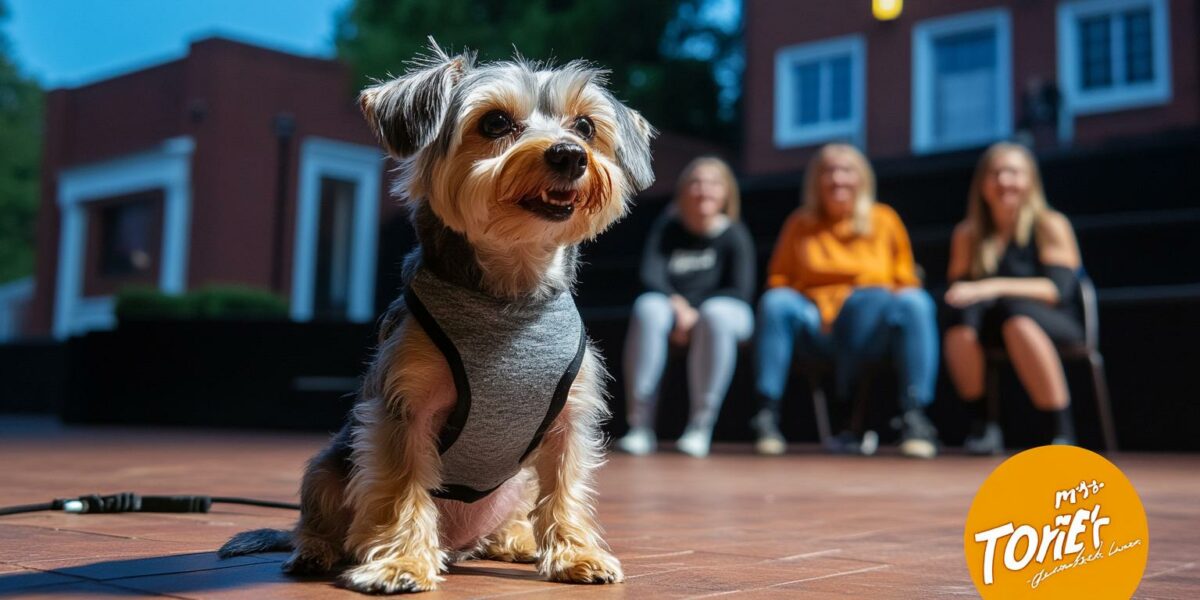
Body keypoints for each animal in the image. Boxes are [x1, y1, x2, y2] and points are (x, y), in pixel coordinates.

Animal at [225, 43, 657, 595]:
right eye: (495, 122)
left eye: (584, 126)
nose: (570, 154)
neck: (510, 291)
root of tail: (459, 545)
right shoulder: (405, 411)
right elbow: (401, 487)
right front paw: (401, 563)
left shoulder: (567, 421)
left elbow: (566, 487)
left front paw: (576, 553)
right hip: (329, 466)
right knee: (319, 519)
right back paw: (316, 551)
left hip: (515, 479)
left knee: (512, 512)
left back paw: (515, 540)